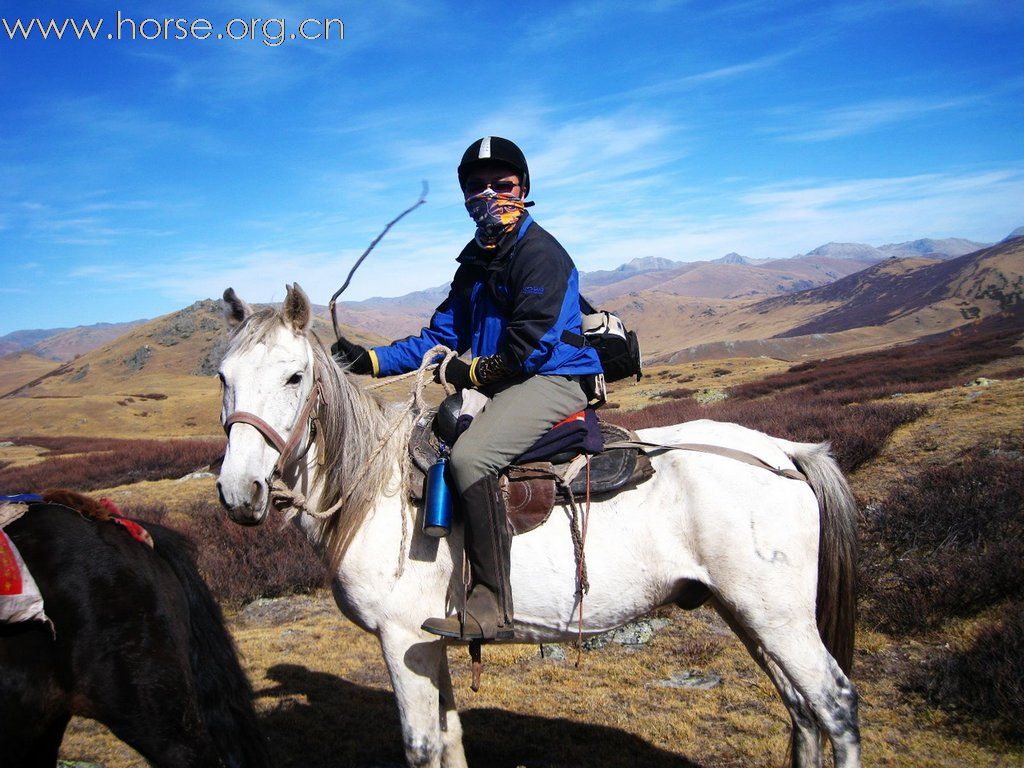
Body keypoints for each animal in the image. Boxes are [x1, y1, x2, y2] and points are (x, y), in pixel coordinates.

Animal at [218, 286, 864, 768]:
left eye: (295, 377)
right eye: (223, 377)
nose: (238, 492)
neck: (375, 492)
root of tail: (784, 452)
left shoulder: (401, 640)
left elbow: (423, 747)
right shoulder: (429, 643)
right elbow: (450, 738)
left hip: (779, 620)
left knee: (835, 705)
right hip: (748, 616)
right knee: (802, 713)